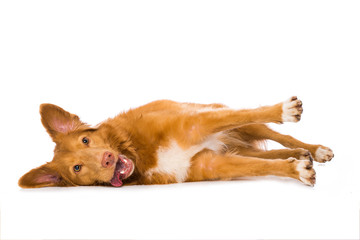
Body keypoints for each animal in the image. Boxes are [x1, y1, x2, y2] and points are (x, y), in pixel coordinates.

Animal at [18, 96, 334, 188]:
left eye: (85, 139)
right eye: (77, 169)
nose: (107, 160)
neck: (138, 150)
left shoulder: (195, 122)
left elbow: (255, 116)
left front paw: (283, 111)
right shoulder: (210, 163)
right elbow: (258, 167)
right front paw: (296, 171)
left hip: (228, 117)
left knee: (279, 134)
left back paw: (315, 149)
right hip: (232, 145)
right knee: (269, 155)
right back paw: (301, 156)